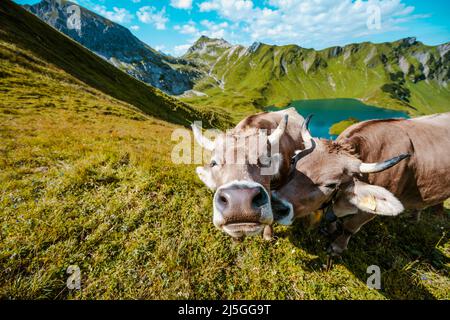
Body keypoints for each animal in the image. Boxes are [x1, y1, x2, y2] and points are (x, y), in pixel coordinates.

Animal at [270, 112, 450, 255]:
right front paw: (329, 229)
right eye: (294, 161)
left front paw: (337, 247)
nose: (276, 205)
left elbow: (350, 227)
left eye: (331, 185)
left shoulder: (368, 213)